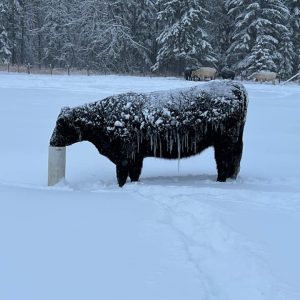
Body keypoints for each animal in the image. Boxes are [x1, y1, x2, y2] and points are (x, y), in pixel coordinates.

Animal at [50, 81, 248, 186]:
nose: (52, 142)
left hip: (224, 144)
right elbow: (134, 175)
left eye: (60, 124)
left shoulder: (124, 157)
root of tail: (235, 85)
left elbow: (122, 177)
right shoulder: (136, 158)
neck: (103, 117)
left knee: (223, 164)